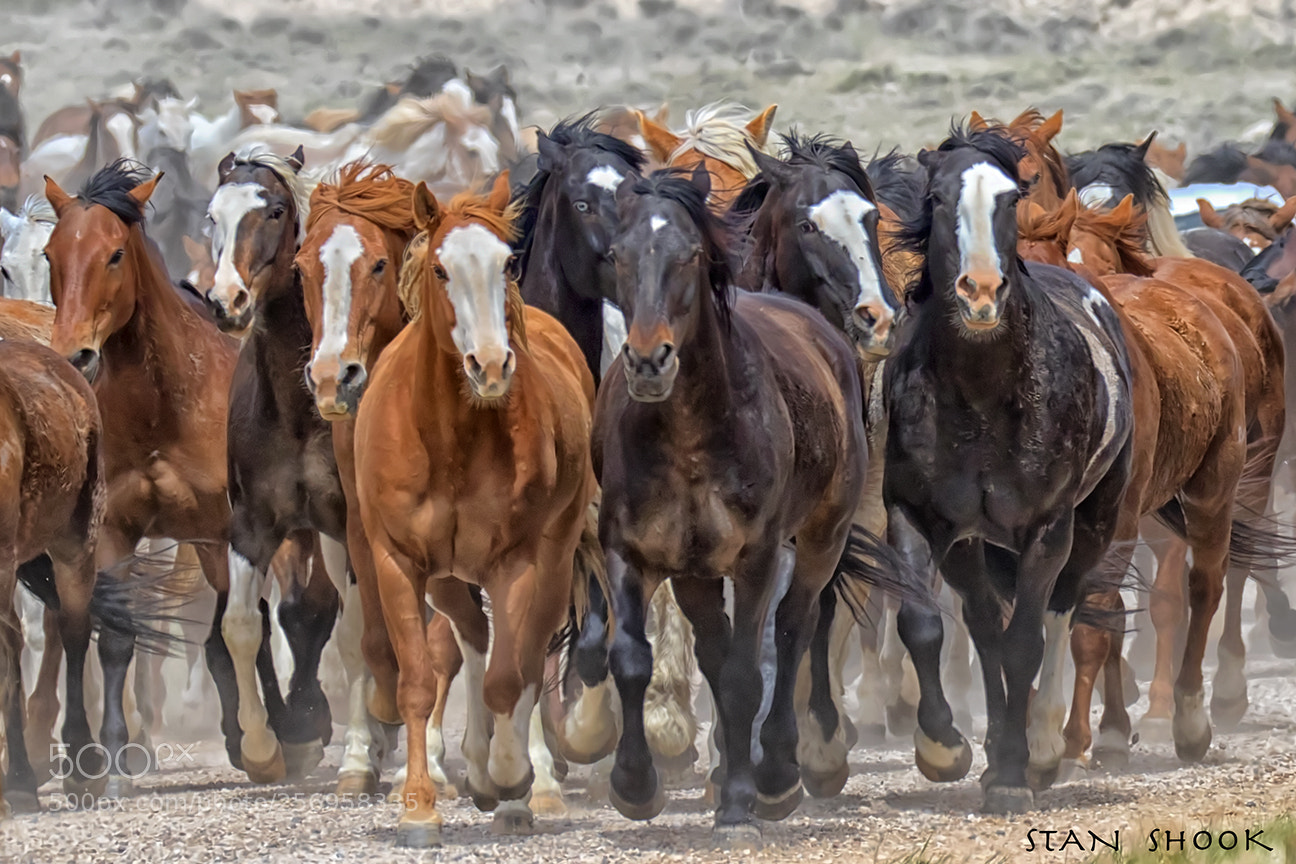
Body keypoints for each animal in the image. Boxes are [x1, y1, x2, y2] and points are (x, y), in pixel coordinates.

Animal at [42, 160, 244, 795]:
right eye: (52, 253)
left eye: (113, 254)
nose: (74, 354)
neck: (163, 403)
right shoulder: (115, 532)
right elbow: (117, 640)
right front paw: (111, 760)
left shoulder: (220, 530)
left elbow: (228, 626)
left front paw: (259, 738)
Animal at [353, 172, 597, 845]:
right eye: (440, 269)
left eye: (506, 263)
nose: (490, 365)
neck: (451, 440)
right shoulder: (397, 561)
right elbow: (416, 681)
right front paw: (418, 806)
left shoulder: (514, 561)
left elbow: (509, 679)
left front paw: (512, 781)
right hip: (446, 578)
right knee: (472, 637)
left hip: (553, 560)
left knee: (526, 657)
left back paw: (512, 782)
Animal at [886, 127, 1134, 813]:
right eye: (937, 197)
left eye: (1009, 198)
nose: (979, 292)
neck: (981, 394)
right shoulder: (918, 516)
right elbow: (925, 624)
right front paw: (946, 749)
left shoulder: (1047, 527)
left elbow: (1027, 641)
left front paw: (1018, 773)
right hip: (976, 546)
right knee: (983, 624)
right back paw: (999, 746)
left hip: (1093, 523)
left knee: (1062, 611)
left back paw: (1043, 748)